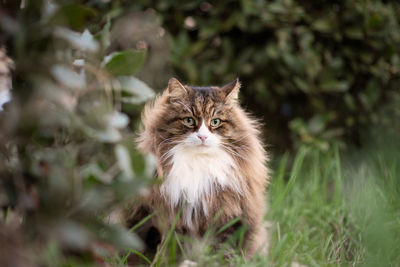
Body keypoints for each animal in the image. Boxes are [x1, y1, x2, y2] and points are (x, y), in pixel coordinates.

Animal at [126, 77, 270, 260]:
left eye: (215, 122)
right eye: (189, 120)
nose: (203, 137)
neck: (198, 163)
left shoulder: (228, 216)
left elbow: (223, 251)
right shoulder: (164, 215)